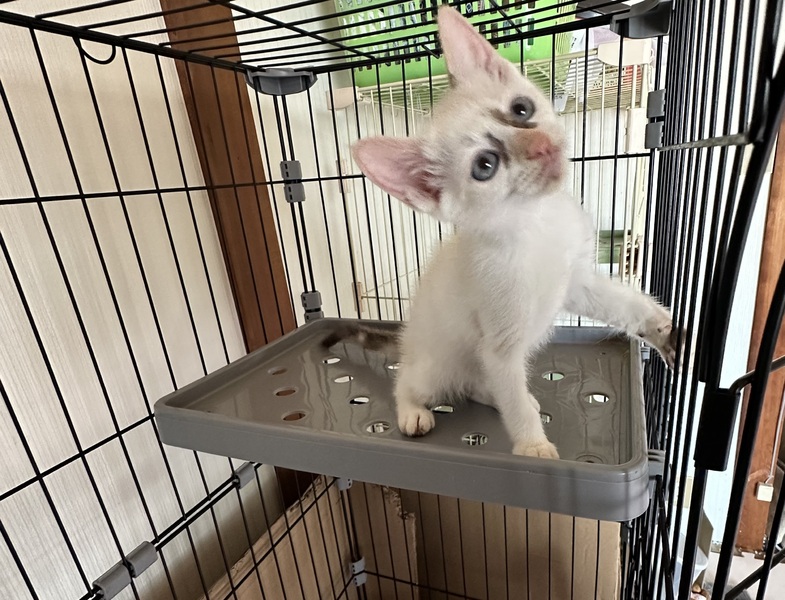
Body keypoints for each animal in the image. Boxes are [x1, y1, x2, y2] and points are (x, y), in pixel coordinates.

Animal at [331, 5, 680, 459]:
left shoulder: (575, 281)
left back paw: (494, 395)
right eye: (485, 165)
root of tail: (409, 342)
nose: (542, 147)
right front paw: (534, 447)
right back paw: (412, 410)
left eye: (521, 109)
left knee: (484, 386)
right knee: (408, 380)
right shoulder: (500, 344)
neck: (535, 222)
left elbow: (619, 303)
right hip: (434, 367)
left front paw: (657, 324)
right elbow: (512, 396)